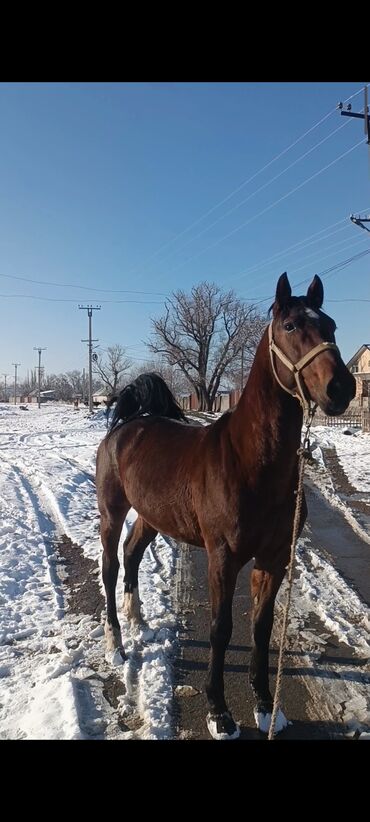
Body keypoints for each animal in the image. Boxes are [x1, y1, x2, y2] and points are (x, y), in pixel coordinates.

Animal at [95, 276, 356, 740]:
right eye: (290, 326)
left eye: (331, 325)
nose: (341, 388)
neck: (251, 461)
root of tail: (126, 426)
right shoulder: (223, 557)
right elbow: (221, 629)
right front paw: (219, 713)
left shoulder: (273, 558)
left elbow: (261, 628)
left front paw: (266, 706)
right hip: (112, 512)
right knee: (110, 568)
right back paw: (116, 645)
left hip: (151, 516)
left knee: (132, 554)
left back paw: (139, 622)